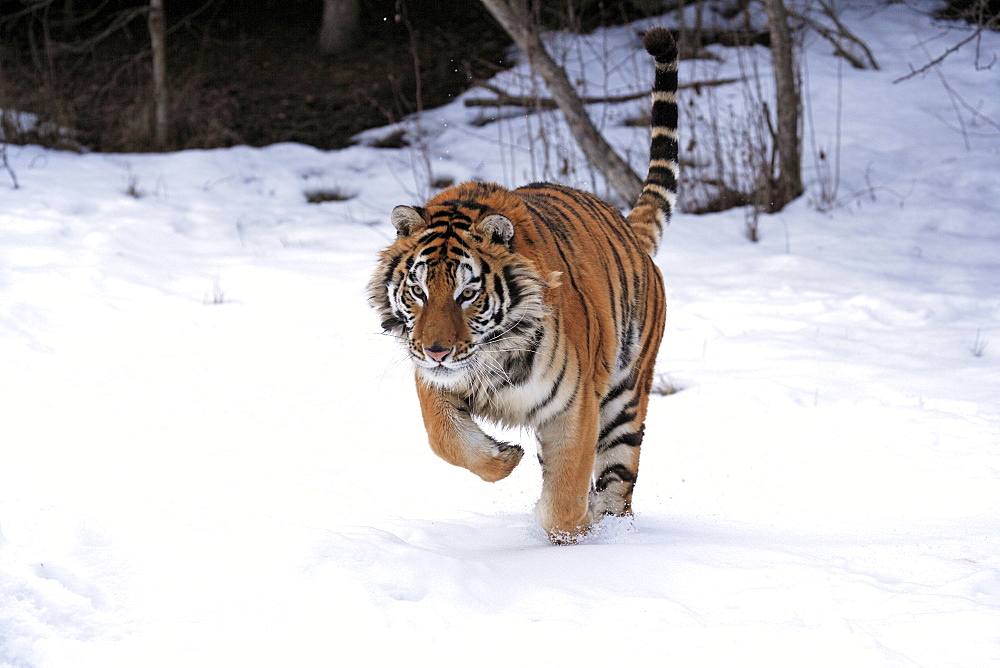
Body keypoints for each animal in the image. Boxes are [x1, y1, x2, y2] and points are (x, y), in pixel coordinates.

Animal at [368, 27, 680, 544]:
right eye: (418, 291)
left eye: (467, 295)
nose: (436, 350)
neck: (492, 356)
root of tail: (627, 227)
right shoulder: (433, 381)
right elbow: (444, 439)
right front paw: (503, 457)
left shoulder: (574, 405)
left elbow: (565, 496)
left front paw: (573, 534)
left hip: (625, 393)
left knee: (618, 482)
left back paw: (611, 529)